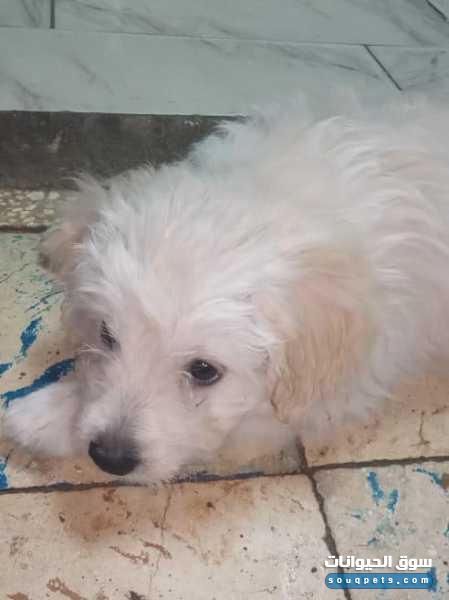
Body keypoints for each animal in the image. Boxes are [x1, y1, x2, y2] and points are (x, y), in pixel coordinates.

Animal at [4, 92, 449, 483]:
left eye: (204, 371)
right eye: (107, 336)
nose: (109, 457)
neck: (279, 194)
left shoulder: (332, 394)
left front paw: (43, 416)